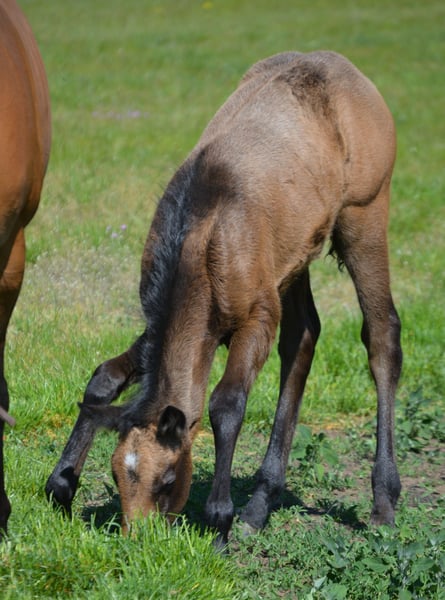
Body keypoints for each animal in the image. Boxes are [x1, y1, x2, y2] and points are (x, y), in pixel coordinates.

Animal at [46, 51, 402, 544]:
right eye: (117, 475)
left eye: (168, 480)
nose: (140, 541)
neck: (198, 234)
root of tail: (349, 69)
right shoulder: (176, 322)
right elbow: (104, 377)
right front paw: (60, 483)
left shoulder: (256, 314)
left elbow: (226, 402)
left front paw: (218, 520)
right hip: (294, 257)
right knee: (304, 334)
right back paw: (261, 502)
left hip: (364, 214)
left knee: (381, 332)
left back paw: (383, 500)